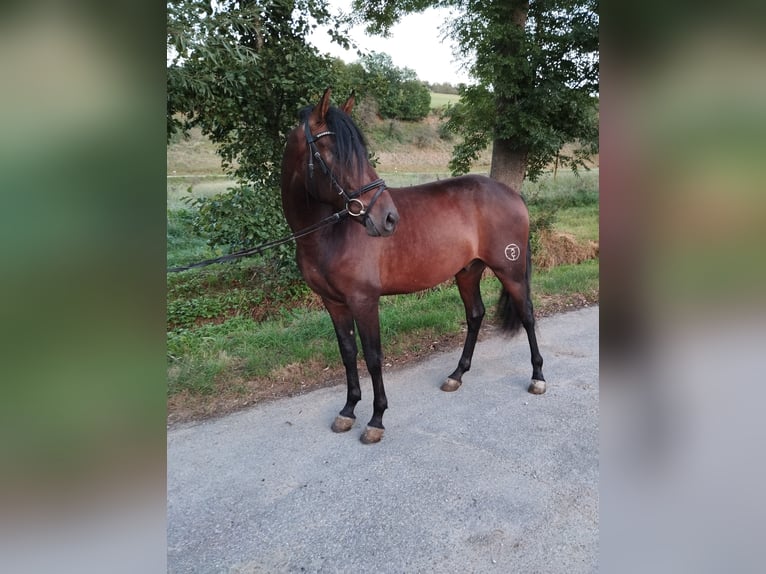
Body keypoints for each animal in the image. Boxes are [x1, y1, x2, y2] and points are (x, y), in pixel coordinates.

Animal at [282, 89, 544, 446]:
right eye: (331, 153)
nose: (388, 218)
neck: (329, 233)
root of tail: (512, 194)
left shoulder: (364, 301)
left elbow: (374, 357)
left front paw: (376, 419)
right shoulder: (334, 303)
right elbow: (348, 353)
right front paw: (348, 411)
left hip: (510, 270)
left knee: (527, 315)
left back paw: (537, 377)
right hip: (468, 271)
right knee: (475, 315)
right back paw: (456, 375)